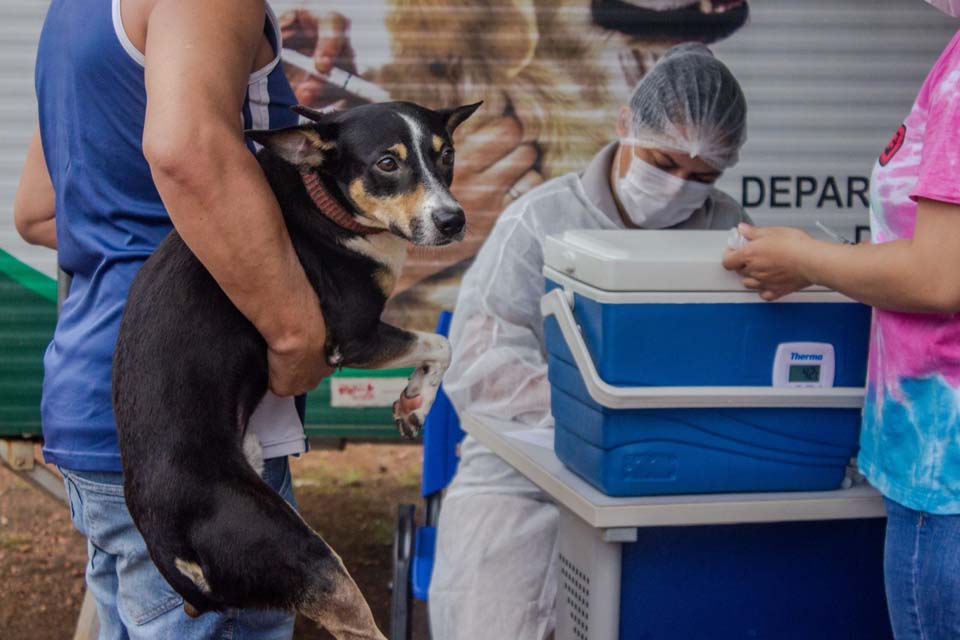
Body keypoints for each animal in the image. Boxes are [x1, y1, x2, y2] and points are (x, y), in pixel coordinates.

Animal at [112, 101, 480, 640]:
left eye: (447, 154)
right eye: (387, 164)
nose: (453, 221)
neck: (321, 200)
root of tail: (170, 547)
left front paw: (414, 402)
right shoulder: (351, 337)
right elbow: (443, 343)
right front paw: (416, 400)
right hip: (307, 558)